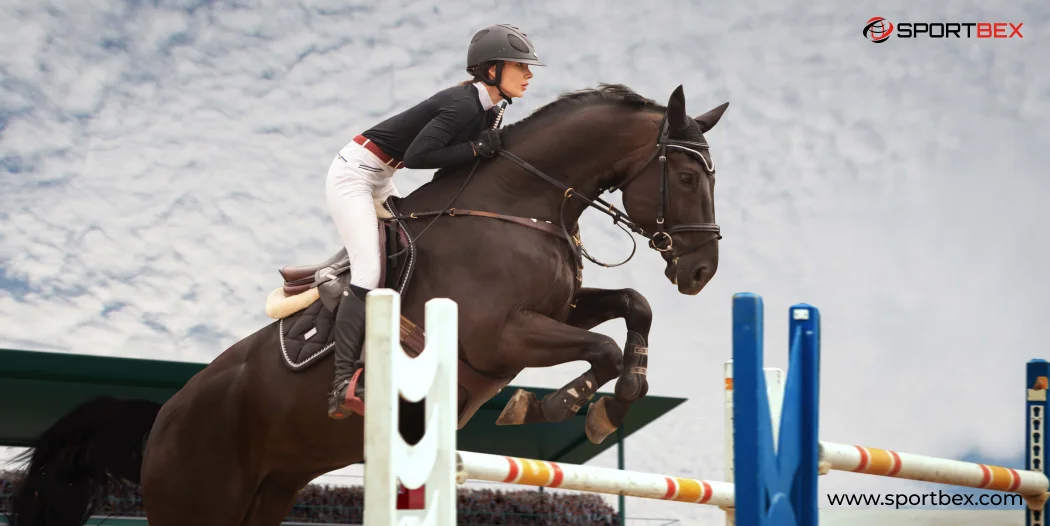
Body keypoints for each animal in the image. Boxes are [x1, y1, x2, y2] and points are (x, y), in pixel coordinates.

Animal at [8, 83, 728, 526]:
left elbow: (634, 306)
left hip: (263, 495)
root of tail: (161, 416)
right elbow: (600, 345)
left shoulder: (559, 308)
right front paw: (555, 406)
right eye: (686, 176)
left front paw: (616, 400)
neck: (522, 201)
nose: (701, 271)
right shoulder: (499, 336)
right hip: (198, 502)